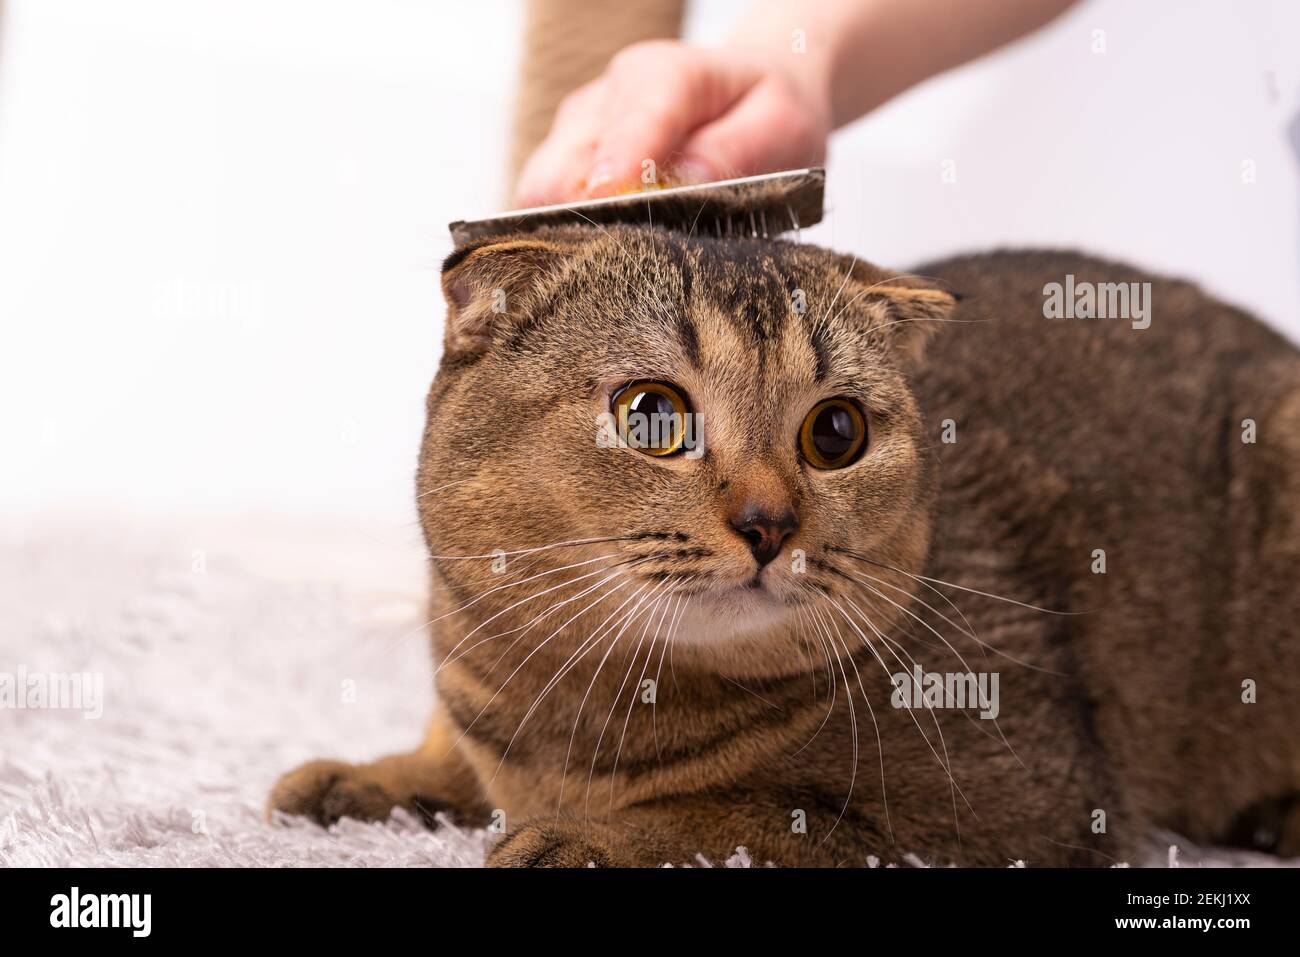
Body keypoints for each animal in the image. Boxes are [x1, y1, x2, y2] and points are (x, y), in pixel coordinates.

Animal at [266, 223, 1300, 868]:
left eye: (836, 432)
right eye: (652, 416)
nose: (768, 523)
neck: (574, 714)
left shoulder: (1022, 806)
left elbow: (731, 812)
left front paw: (587, 835)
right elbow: (451, 750)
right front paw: (375, 775)